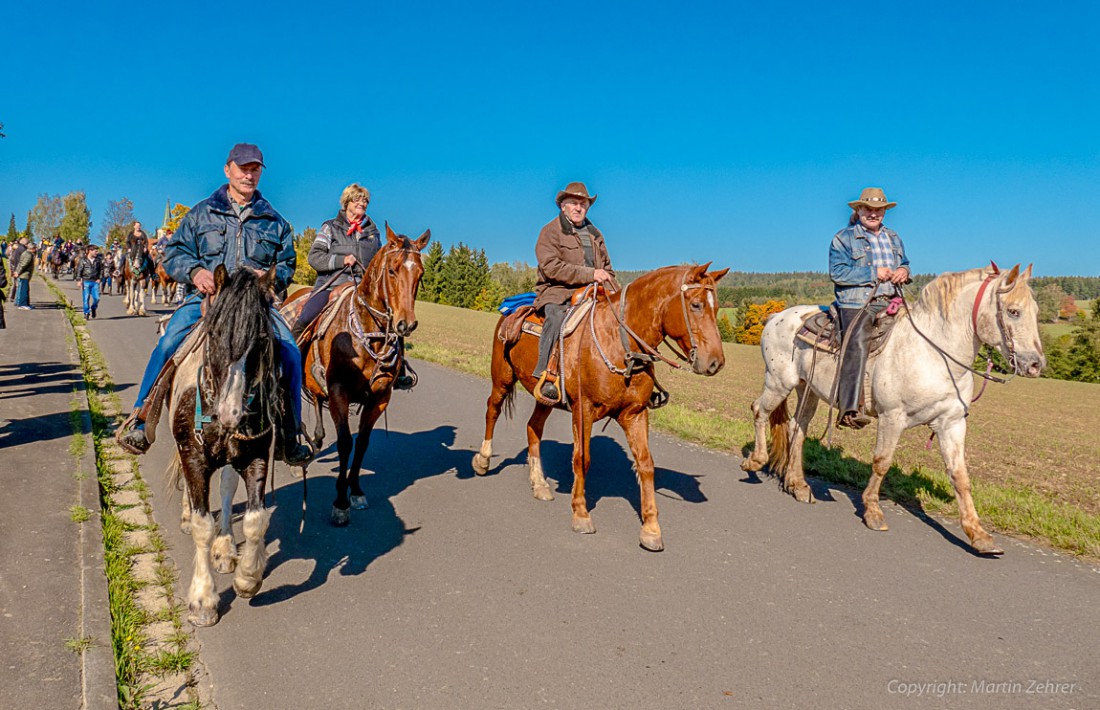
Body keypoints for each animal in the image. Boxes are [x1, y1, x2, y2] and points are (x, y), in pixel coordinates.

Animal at [166, 263, 281, 625]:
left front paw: (248, 577)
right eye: (215, 334)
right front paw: (203, 600)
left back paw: (225, 548)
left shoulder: (256, 455)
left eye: (262, 339)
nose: (232, 413)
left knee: (228, 487)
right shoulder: (193, 456)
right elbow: (202, 525)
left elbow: (256, 520)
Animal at [473, 263, 730, 550]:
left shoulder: (635, 414)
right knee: (492, 411)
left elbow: (645, 464)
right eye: (696, 305)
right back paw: (483, 460)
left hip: (545, 398)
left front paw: (651, 528)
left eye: (717, 308)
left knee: (533, 427)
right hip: (502, 378)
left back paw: (539, 483)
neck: (620, 343)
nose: (715, 363)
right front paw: (580, 513)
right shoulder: (583, 409)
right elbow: (582, 458)